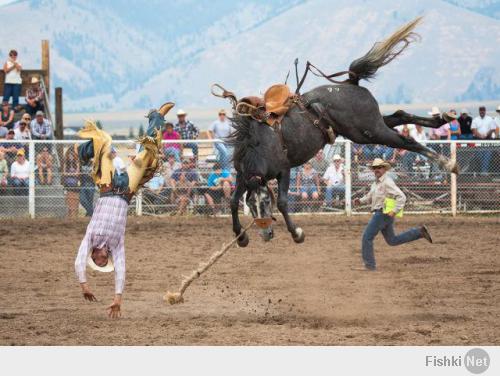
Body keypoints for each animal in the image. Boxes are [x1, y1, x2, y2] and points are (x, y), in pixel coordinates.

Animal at [213, 16, 458, 247]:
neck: (260, 144)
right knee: (400, 115)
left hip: (370, 131)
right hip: (369, 126)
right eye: (251, 205)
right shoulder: (242, 174)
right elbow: (233, 201)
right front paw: (241, 237)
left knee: (406, 140)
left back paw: (448, 163)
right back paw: (442, 119)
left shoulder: (284, 169)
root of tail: (350, 83)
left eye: (265, 202)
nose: (266, 234)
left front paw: (297, 233)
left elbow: (282, 202)